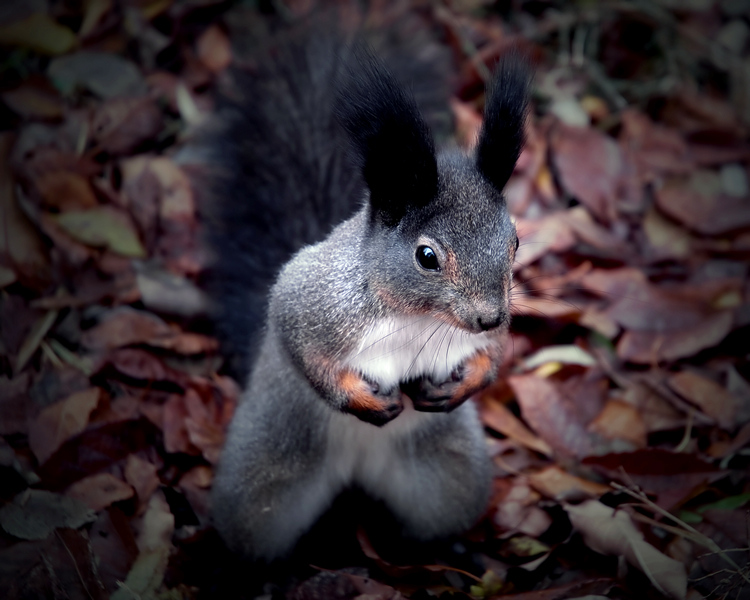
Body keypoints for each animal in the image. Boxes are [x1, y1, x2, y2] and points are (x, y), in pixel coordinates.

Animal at [198, 18, 528, 564]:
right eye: (427, 256)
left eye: (515, 241)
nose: (488, 317)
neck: (418, 317)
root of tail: (355, 472)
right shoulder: (310, 299)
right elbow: (297, 341)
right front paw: (359, 400)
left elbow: (495, 351)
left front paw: (472, 377)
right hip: (262, 483)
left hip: (450, 478)